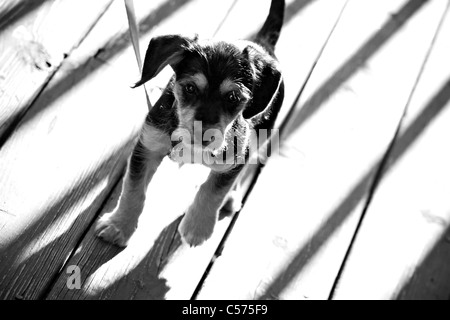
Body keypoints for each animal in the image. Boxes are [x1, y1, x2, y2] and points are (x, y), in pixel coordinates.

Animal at [96, 0, 284, 248]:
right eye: (190, 88)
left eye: (233, 97)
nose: (203, 136)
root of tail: (263, 45)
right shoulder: (148, 148)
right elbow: (133, 189)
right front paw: (119, 225)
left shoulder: (234, 157)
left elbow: (213, 190)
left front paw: (197, 227)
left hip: (259, 136)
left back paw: (231, 197)